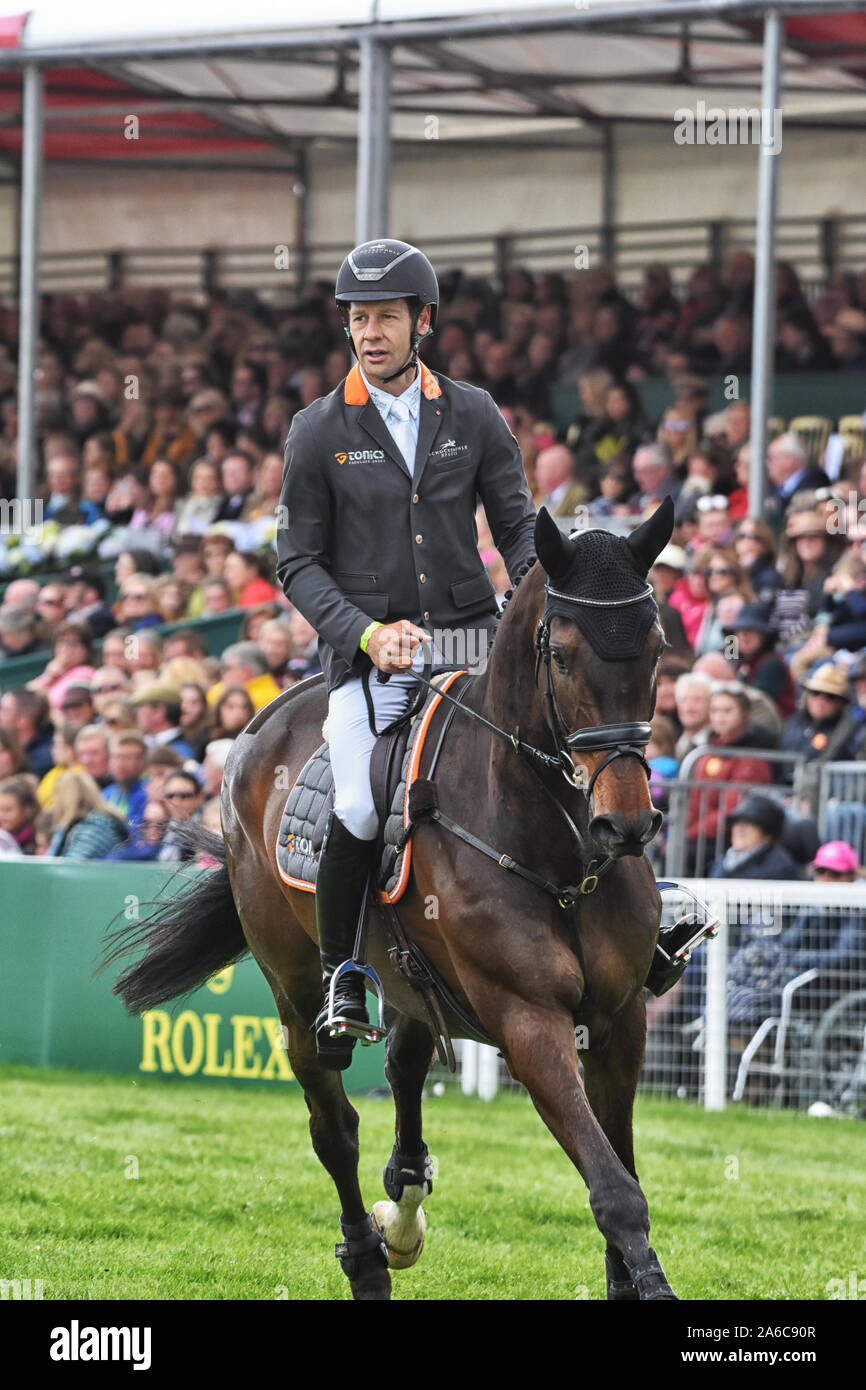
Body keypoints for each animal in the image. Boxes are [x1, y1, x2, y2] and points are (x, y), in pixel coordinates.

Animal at [107, 503, 678, 1301]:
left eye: (656, 649)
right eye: (563, 657)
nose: (624, 825)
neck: (553, 846)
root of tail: (267, 717)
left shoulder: (620, 1018)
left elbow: (621, 1169)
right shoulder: (529, 1021)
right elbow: (615, 1190)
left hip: (410, 976)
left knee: (405, 1067)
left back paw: (402, 1201)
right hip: (295, 987)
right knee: (334, 1124)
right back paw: (368, 1258)